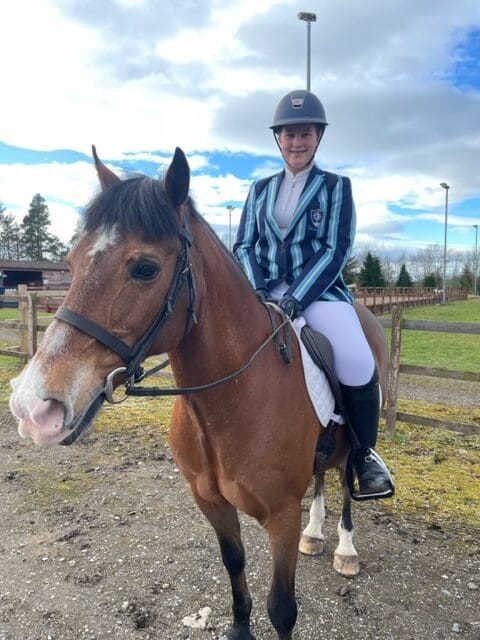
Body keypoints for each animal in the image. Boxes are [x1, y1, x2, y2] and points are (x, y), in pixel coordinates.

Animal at [9, 146, 388, 640]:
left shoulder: (281, 516)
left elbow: (282, 608)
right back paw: (316, 534)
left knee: (345, 484)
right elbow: (234, 564)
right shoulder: (211, 503)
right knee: (323, 478)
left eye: (145, 268)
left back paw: (345, 549)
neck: (227, 403)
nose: (32, 405)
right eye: (70, 263)